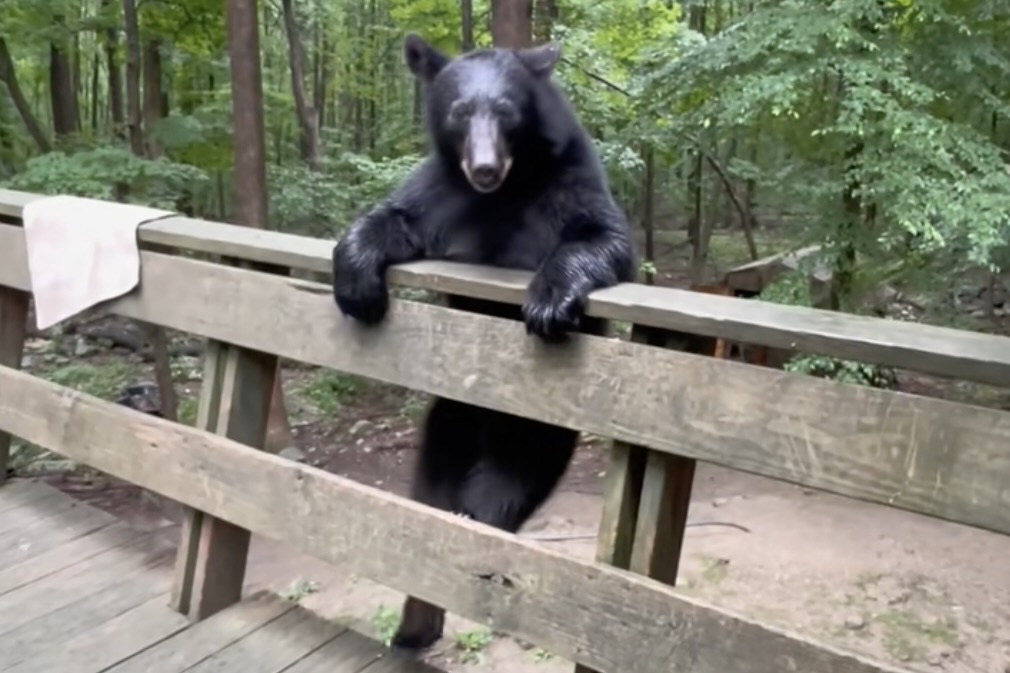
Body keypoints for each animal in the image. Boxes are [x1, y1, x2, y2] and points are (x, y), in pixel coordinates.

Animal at [330, 33, 635, 653]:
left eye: (508, 110)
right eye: (458, 111)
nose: (485, 167)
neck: (507, 193)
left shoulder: (570, 185)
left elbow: (600, 236)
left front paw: (549, 300)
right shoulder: (443, 194)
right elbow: (395, 215)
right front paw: (356, 282)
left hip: (534, 441)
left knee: (503, 494)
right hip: (446, 424)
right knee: (432, 484)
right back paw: (415, 621)